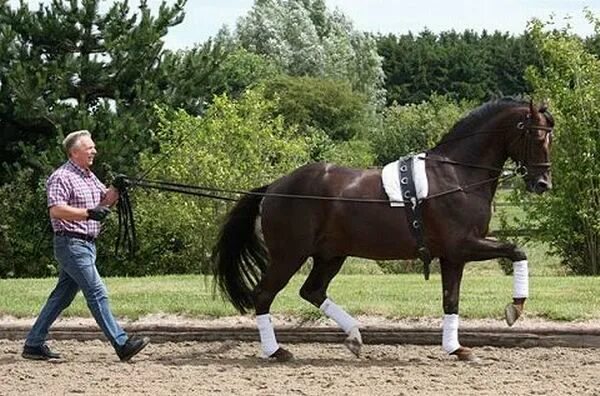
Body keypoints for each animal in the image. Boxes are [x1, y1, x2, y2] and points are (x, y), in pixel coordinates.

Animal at [211, 99, 552, 362]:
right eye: (537, 138)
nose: (542, 184)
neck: (459, 175)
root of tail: (275, 187)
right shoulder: (464, 245)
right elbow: (517, 251)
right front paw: (515, 308)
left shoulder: (453, 257)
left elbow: (450, 300)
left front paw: (455, 348)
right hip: (289, 255)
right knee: (264, 294)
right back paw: (276, 351)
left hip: (330, 255)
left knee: (312, 291)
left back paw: (354, 337)